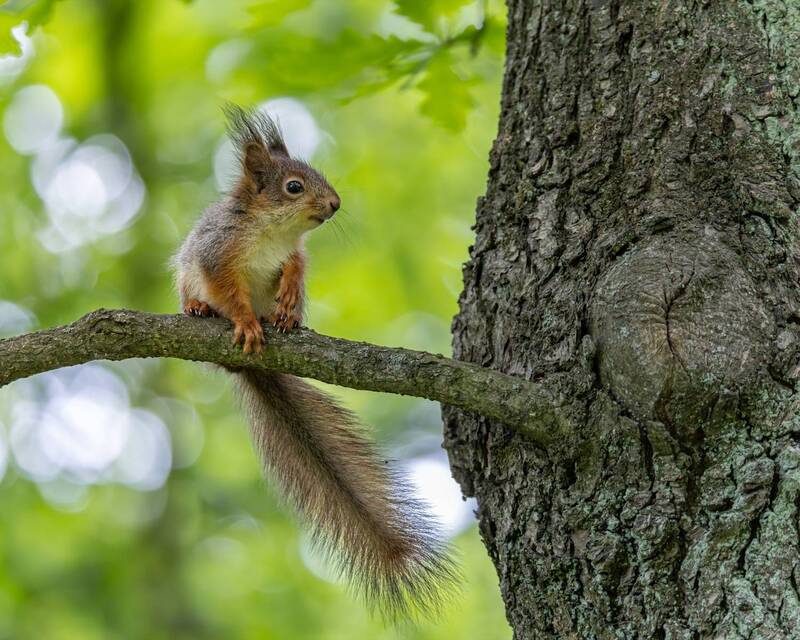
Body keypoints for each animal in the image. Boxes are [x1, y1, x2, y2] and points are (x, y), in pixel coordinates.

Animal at [174, 105, 456, 619]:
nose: (336, 204)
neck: (271, 232)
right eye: (293, 186)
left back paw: (283, 318)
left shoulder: (293, 253)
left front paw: (285, 298)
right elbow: (227, 289)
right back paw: (200, 309)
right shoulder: (217, 252)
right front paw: (244, 320)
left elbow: (297, 266)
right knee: (197, 294)